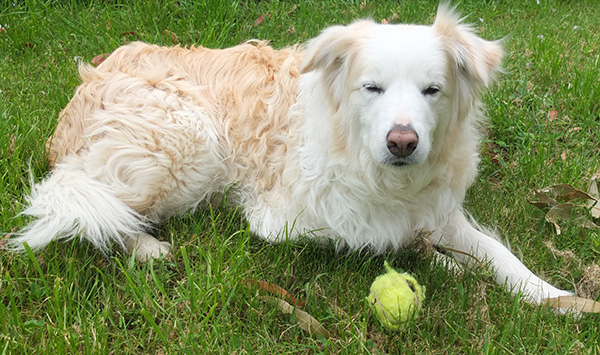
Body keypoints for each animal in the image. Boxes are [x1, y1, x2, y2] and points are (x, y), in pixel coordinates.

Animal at [11, 3, 576, 308]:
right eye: (372, 88)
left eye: (432, 90)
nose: (403, 141)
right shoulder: (288, 222)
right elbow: (384, 241)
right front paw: (444, 265)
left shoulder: (439, 208)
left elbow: (497, 252)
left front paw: (555, 298)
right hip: (188, 144)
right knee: (95, 209)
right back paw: (148, 248)